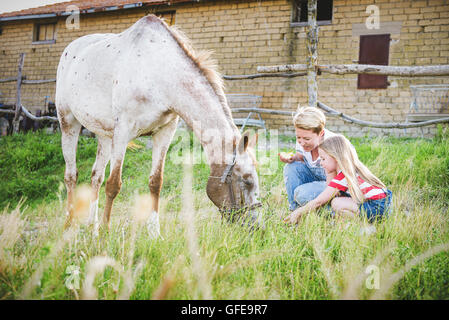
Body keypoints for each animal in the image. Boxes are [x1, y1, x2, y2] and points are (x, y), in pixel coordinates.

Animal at [55, 15, 262, 236]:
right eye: (247, 180)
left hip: (104, 136)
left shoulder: (164, 133)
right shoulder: (122, 133)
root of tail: (70, 49)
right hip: (69, 124)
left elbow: (155, 182)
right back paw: (69, 227)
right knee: (71, 176)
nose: (257, 228)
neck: (159, 72)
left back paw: (91, 229)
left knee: (96, 177)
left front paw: (155, 234)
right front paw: (104, 234)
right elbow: (113, 185)